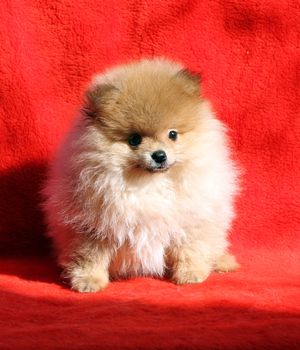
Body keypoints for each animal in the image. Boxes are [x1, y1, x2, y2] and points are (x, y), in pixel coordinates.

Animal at [41, 58, 239, 292]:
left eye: (173, 134)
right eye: (134, 139)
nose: (159, 155)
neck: (148, 183)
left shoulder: (191, 222)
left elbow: (189, 249)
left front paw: (190, 274)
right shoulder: (91, 226)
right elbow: (90, 256)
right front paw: (88, 281)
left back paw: (222, 262)